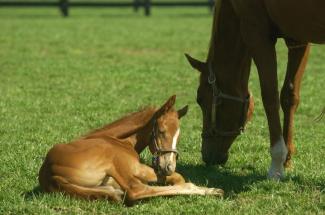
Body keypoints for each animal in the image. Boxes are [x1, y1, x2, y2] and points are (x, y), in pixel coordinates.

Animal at [39, 95, 223, 203]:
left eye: (178, 135)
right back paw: (212, 190)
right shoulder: (137, 167)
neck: (120, 140)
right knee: (136, 190)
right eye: (161, 131)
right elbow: (179, 178)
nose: (168, 167)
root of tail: (50, 172)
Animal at [185, 0, 324, 180]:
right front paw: (286, 160)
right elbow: (289, 96)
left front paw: (276, 165)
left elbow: (270, 97)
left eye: (200, 99)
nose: (207, 156)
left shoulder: (256, 33)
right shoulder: (298, 38)